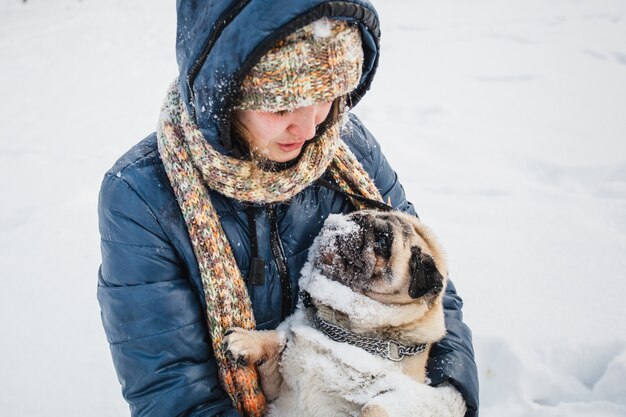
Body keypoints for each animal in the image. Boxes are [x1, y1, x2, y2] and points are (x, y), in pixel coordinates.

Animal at [222, 211, 460, 416]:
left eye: (383, 241)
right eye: (356, 214)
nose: (355, 220)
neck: (346, 333)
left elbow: (373, 407)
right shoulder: (276, 392)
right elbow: (277, 339)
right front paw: (246, 340)